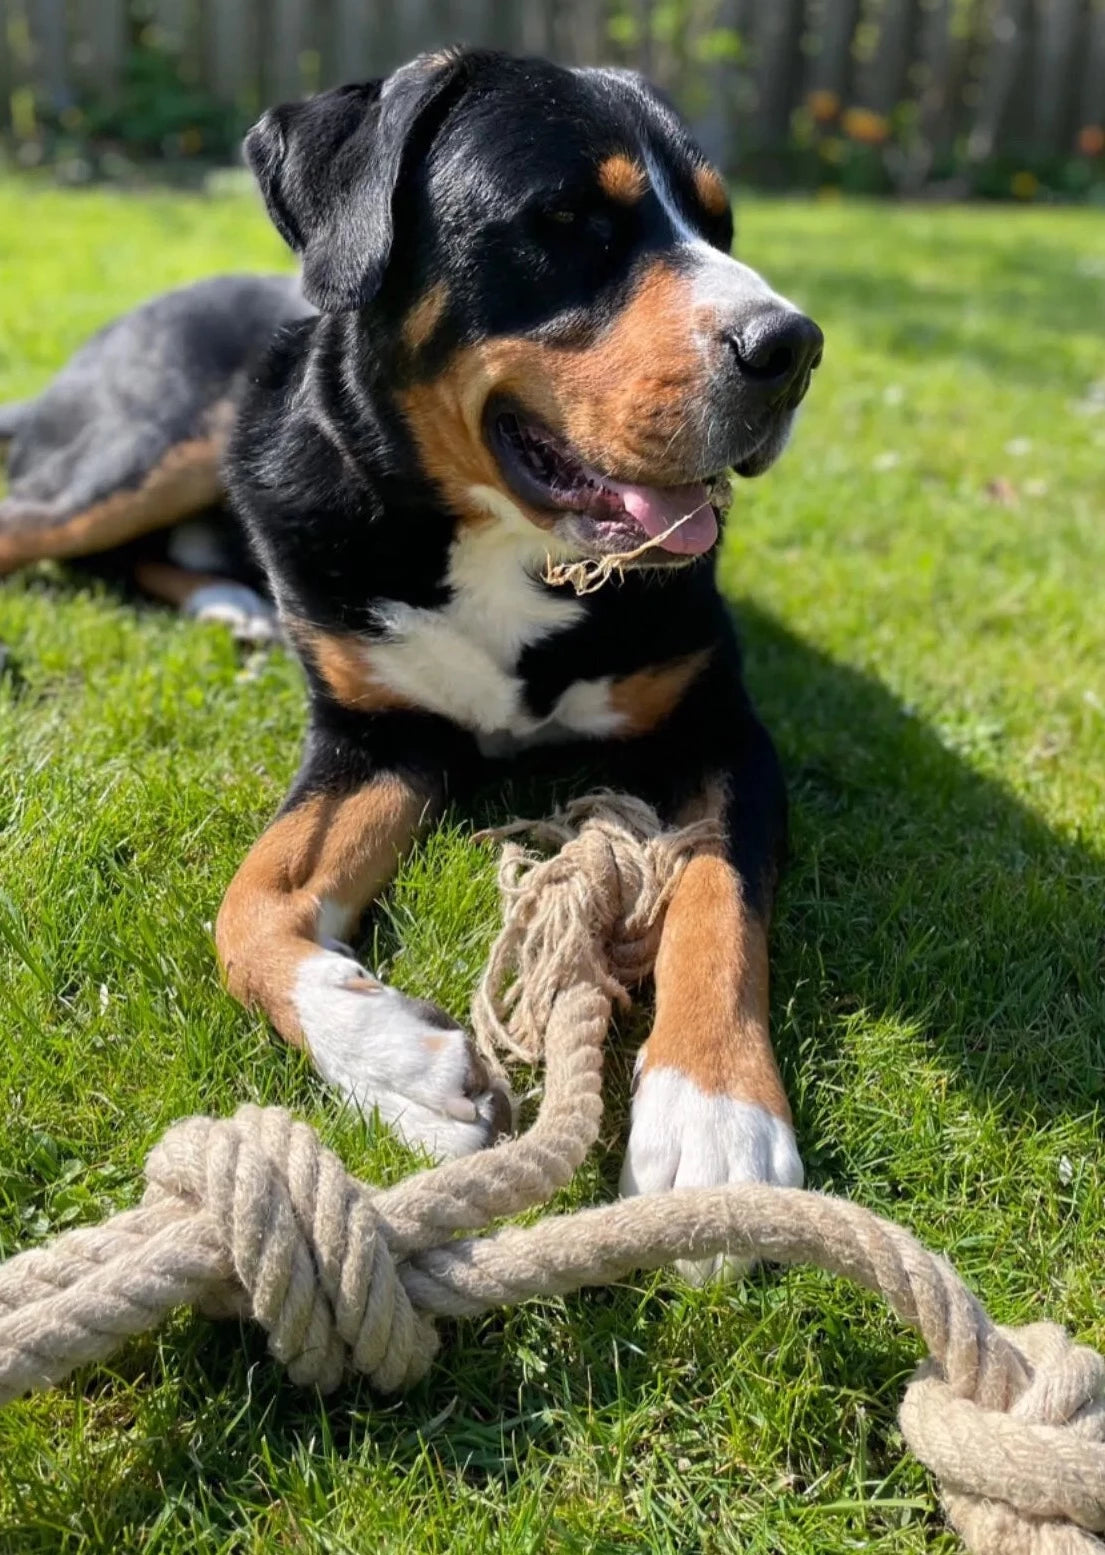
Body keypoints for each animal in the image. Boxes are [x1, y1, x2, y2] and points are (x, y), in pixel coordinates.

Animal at [0, 54, 820, 1281]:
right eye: (565, 221)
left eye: (718, 224)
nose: (790, 348)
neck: (507, 549)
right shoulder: (374, 736)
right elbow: (246, 906)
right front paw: (397, 1063)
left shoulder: (719, 730)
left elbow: (715, 898)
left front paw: (713, 1119)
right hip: (149, 442)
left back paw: (235, 605)